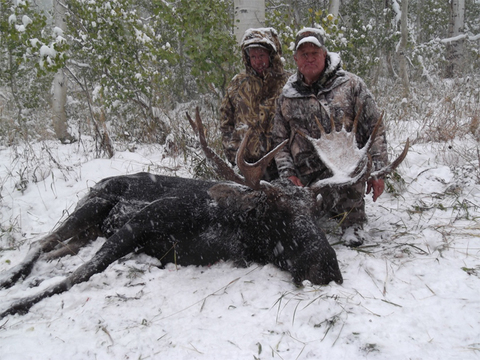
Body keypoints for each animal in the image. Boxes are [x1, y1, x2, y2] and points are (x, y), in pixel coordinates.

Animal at [0, 107, 408, 318]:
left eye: (313, 212)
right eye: (276, 213)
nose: (327, 268)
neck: (229, 229)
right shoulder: (141, 220)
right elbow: (84, 272)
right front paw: (17, 306)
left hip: (89, 229)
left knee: (56, 249)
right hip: (93, 204)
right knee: (40, 243)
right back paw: (12, 280)